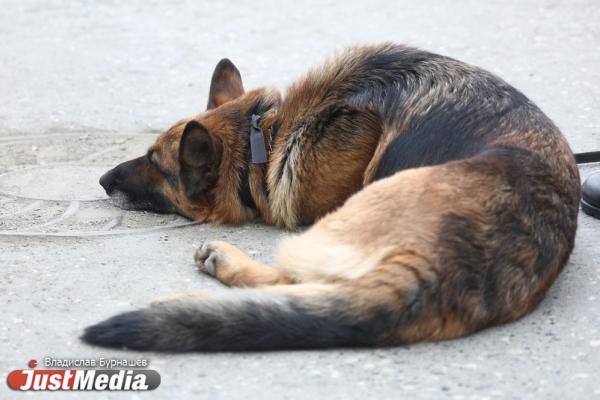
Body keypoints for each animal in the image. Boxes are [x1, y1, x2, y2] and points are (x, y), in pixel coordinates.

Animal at [82, 42, 580, 352]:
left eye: (155, 163)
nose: (103, 181)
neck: (264, 138)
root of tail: (447, 267)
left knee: (292, 282)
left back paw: (207, 283)